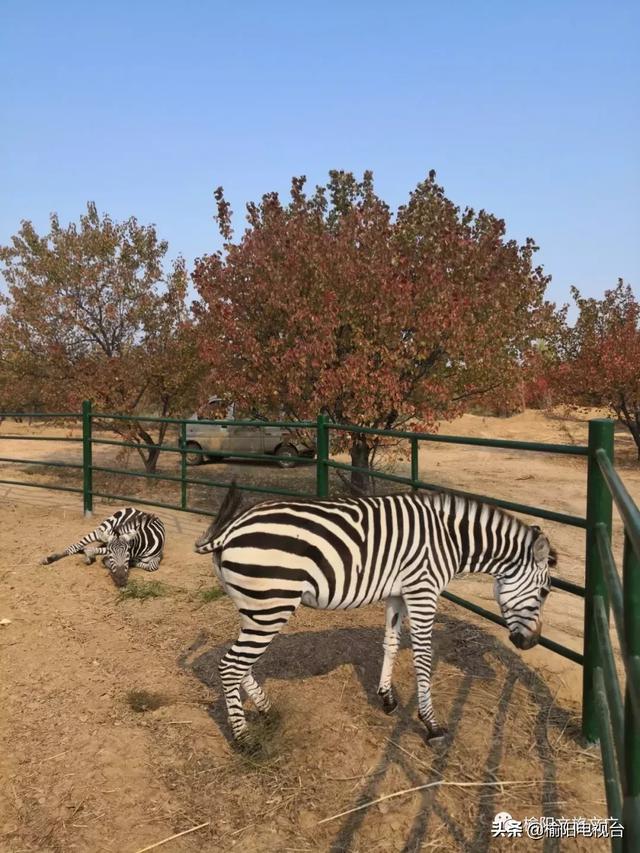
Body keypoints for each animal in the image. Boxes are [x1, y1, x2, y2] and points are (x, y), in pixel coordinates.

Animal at [194, 482, 556, 744]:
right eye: (544, 592)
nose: (531, 643)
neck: (449, 539)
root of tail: (229, 530)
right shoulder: (423, 590)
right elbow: (423, 657)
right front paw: (431, 724)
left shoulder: (397, 593)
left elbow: (391, 643)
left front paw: (387, 698)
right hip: (271, 605)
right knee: (230, 666)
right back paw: (244, 740)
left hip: (257, 608)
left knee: (240, 663)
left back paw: (267, 710)